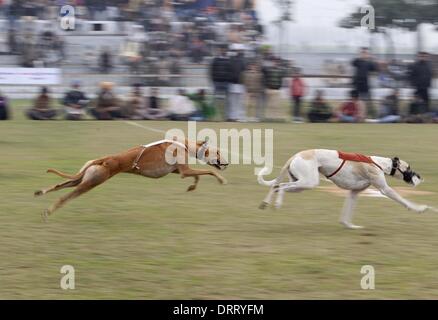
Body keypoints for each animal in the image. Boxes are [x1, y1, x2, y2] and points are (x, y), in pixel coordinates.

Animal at [35, 139, 228, 221]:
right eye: (218, 152)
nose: (227, 163)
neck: (185, 145)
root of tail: (103, 159)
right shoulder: (184, 171)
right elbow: (208, 172)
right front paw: (221, 179)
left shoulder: (179, 171)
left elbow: (197, 176)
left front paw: (191, 188)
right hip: (92, 182)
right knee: (64, 198)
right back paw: (47, 212)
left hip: (84, 178)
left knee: (58, 185)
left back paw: (40, 192)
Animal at [256, 149, 432, 229]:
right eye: (409, 168)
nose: (420, 177)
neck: (381, 164)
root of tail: (297, 155)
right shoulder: (385, 189)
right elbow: (404, 201)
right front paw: (420, 208)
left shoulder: (353, 193)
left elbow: (347, 212)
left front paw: (350, 226)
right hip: (308, 182)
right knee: (281, 186)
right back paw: (277, 204)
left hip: (299, 183)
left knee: (276, 186)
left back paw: (266, 203)